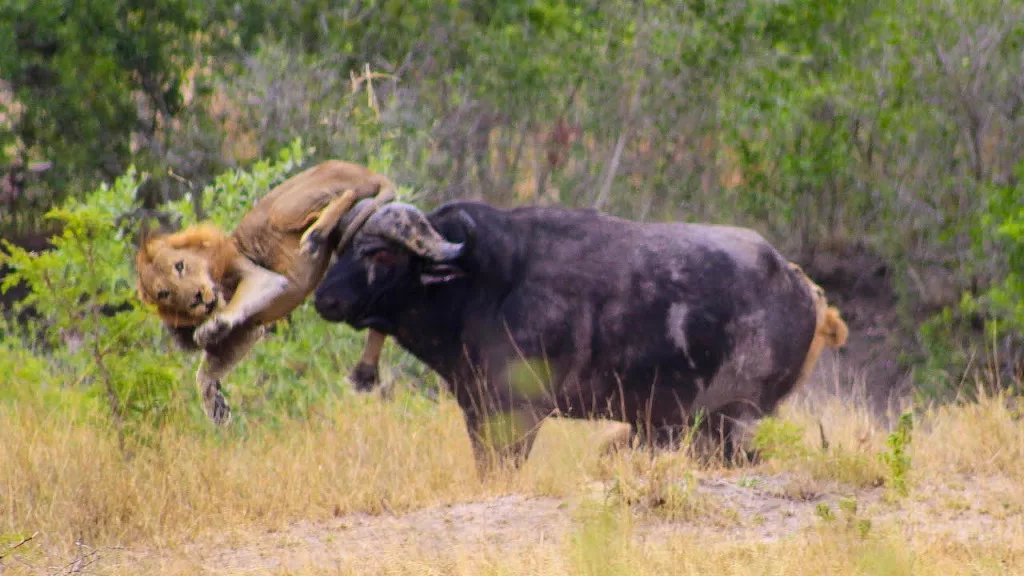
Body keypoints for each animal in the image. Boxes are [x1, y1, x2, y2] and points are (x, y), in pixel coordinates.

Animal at [133, 158, 395, 424]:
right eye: (164, 294)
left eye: (180, 266)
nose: (196, 298)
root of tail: (369, 172)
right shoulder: (247, 330)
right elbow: (206, 370)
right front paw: (215, 405)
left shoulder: (260, 276)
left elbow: (241, 302)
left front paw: (211, 328)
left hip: (284, 206)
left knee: (347, 194)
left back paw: (315, 235)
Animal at [311, 200, 847, 471]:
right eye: (345, 247)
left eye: (381, 254)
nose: (324, 299)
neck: (483, 286)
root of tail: (805, 290)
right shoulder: (477, 409)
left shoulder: (519, 414)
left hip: (736, 420)